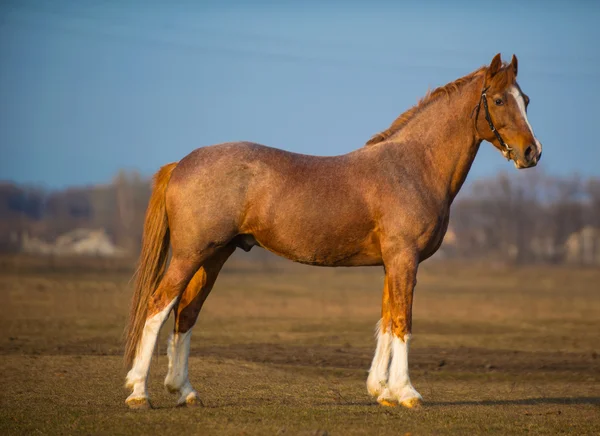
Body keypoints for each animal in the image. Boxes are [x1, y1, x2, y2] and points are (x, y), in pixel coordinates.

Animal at [123, 53, 544, 408]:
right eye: (500, 101)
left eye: (525, 99)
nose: (532, 152)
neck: (412, 166)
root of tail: (182, 163)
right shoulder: (404, 259)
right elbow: (402, 321)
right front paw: (407, 392)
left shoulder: (392, 263)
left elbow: (386, 319)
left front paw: (382, 390)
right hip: (190, 254)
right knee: (158, 306)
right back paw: (139, 392)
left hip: (215, 255)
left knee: (187, 313)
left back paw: (184, 391)